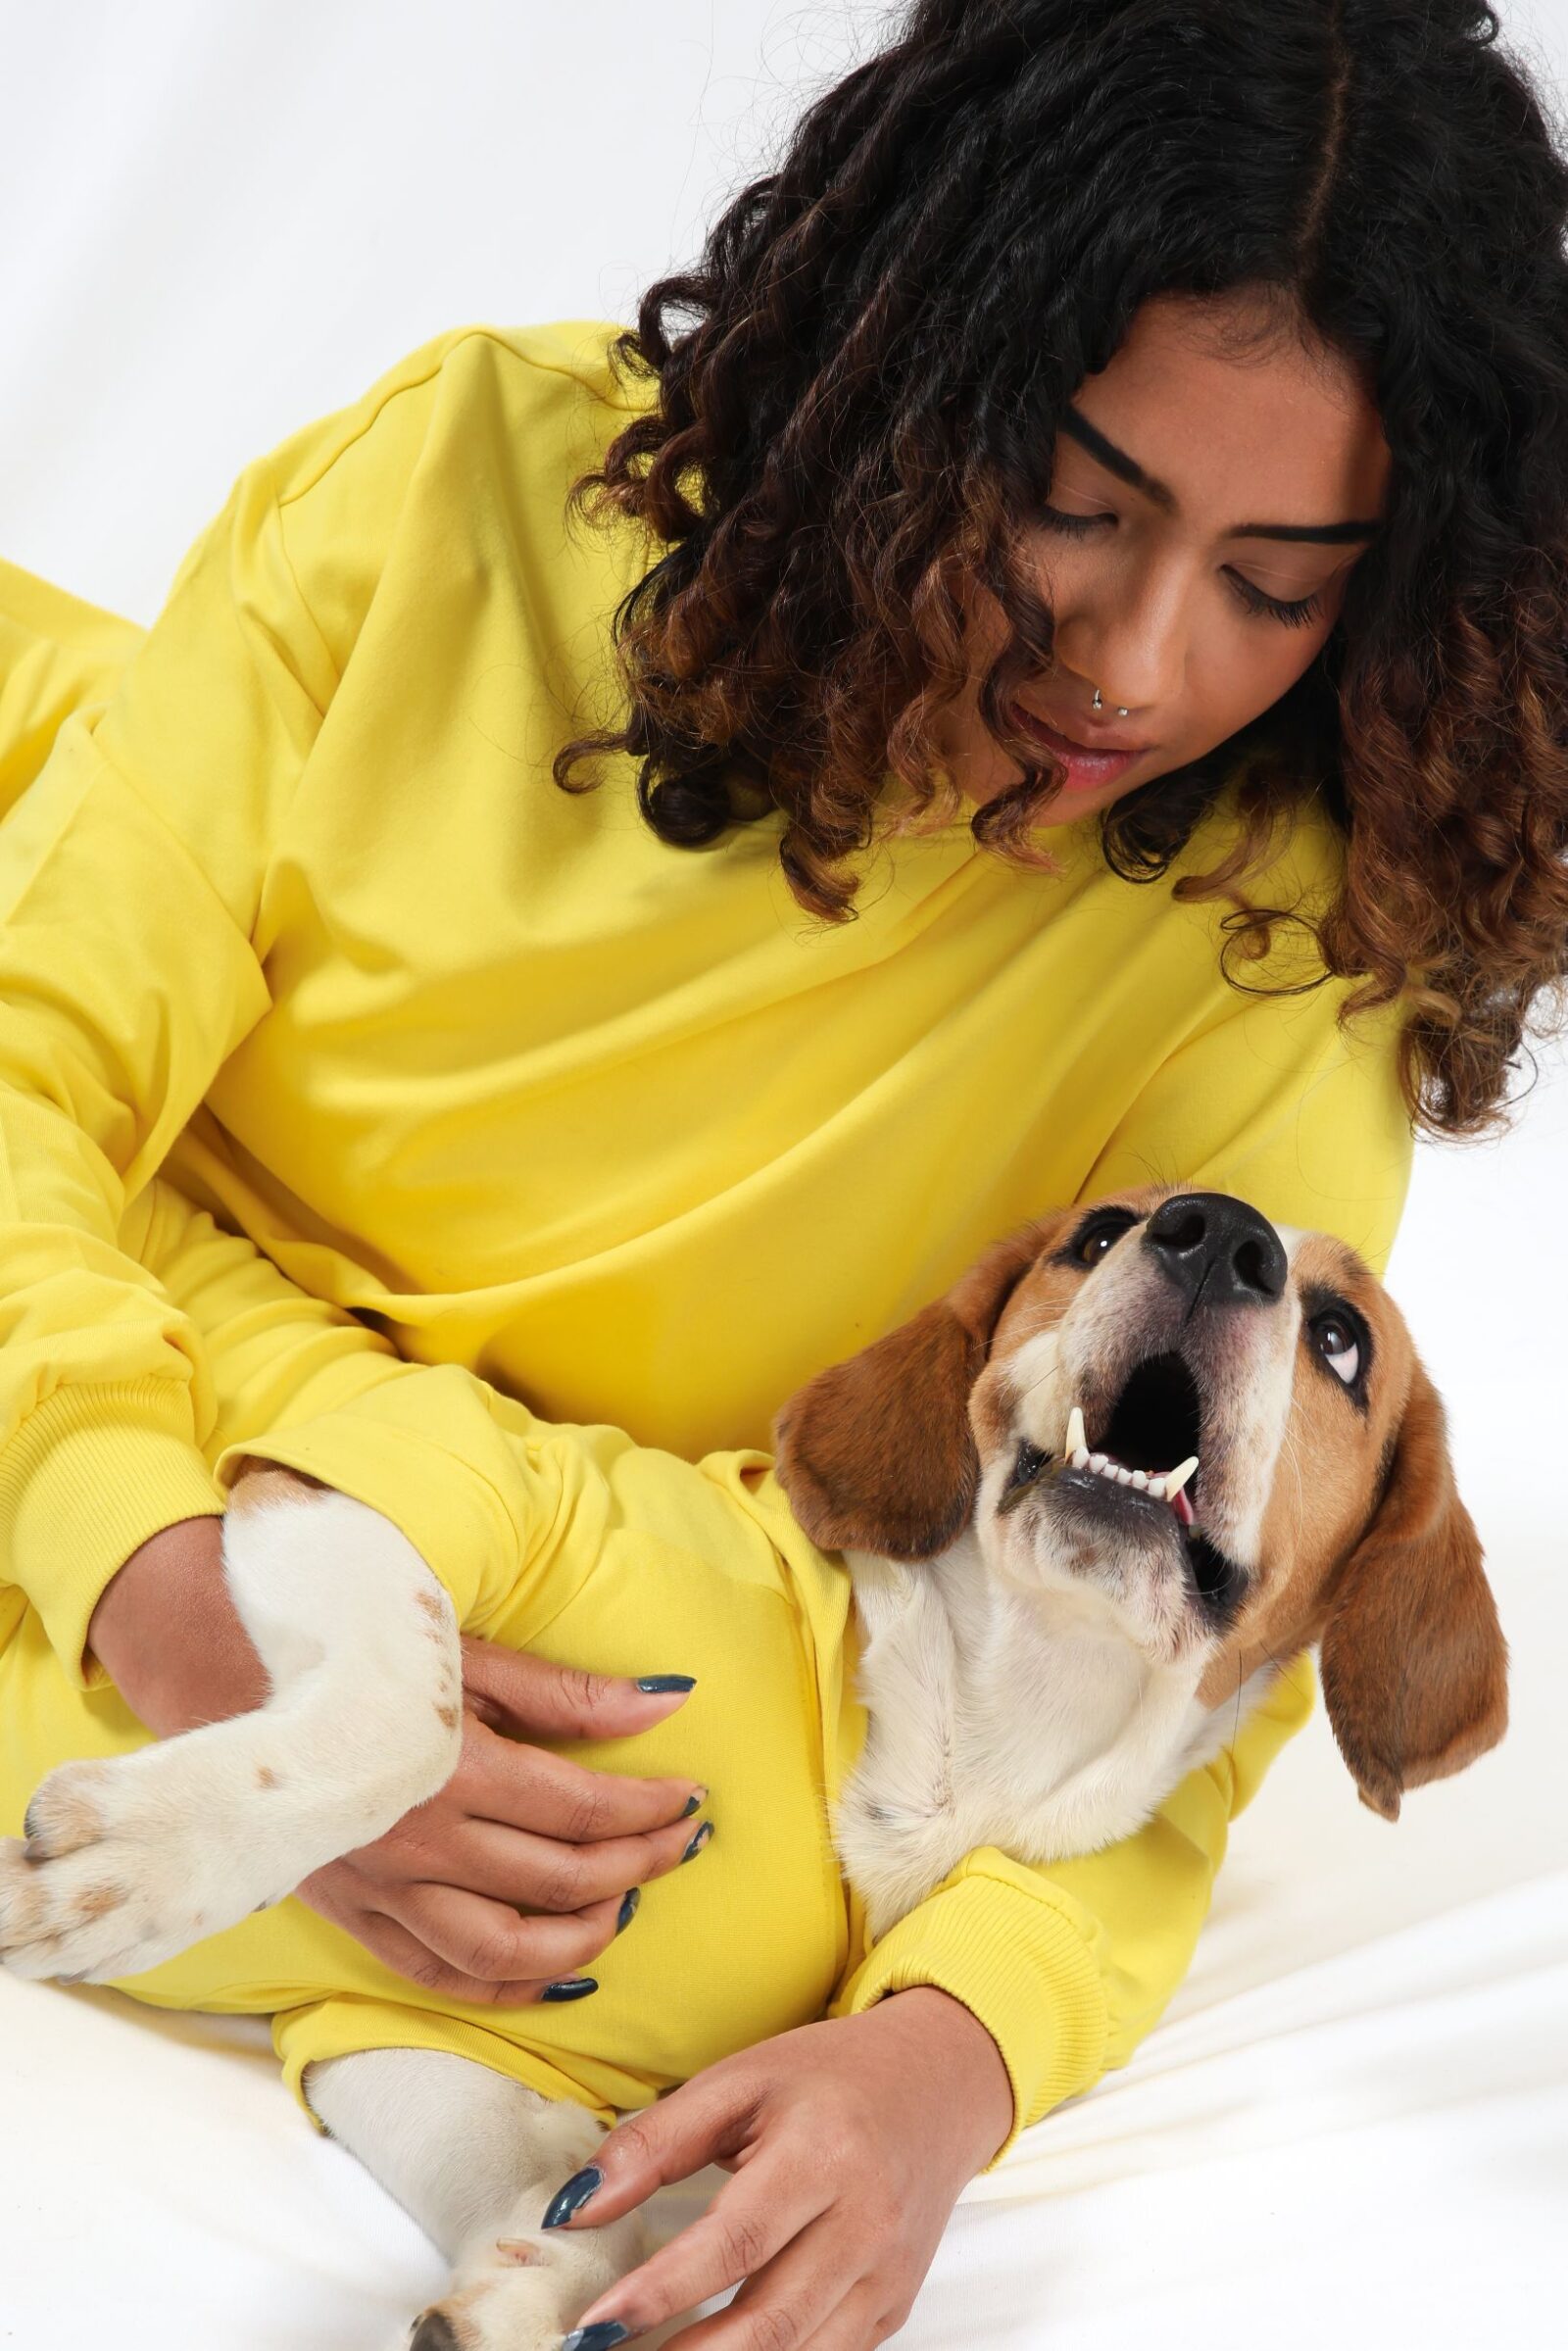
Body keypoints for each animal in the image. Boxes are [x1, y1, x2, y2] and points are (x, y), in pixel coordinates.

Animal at [0, 1194, 1504, 2351]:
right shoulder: (380, 1489)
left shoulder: (396, 2024)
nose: (1215, 1234)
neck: (983, 1716)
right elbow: (414, 1717)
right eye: (1100, 1232)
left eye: (1341, 1338)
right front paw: (132, 1858)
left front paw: (530, 2293)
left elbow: (580, 2190)